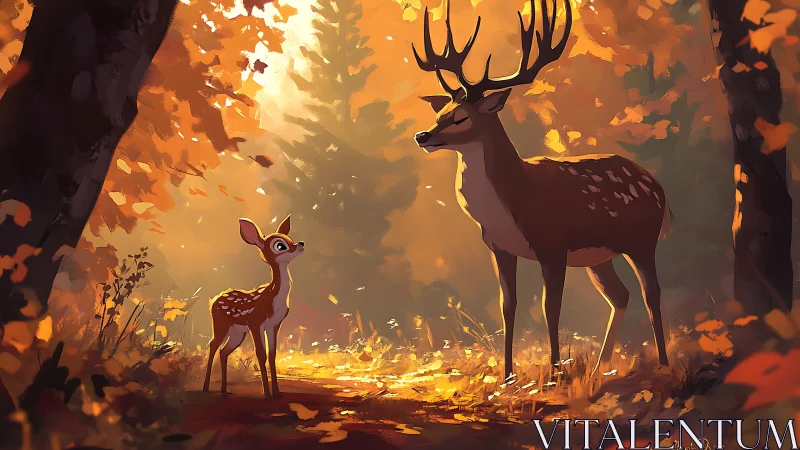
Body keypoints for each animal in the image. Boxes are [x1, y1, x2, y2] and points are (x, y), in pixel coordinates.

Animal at [202, 215, 304, 400]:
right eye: (280, 245)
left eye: (289, 238)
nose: (301, 244)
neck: (274, 298)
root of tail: (213, 300)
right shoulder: (256, 322)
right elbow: (261, 354)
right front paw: (267, 396)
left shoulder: (274, 324)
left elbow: (272, 355)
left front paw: (277, 393)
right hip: (221, 323)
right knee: (213, 345)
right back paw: (206, 388)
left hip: (237, 332)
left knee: (224, 351)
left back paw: (224, 391)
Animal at [411, 0, 672, 381]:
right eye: (441, 111)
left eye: (460, 117)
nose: (423, 136)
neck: (514, 200)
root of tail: (659, 188)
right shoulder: (499, 248)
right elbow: (508, 307)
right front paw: (507, 376)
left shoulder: (553, 244)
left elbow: (552, 308)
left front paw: (555, 374)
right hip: (600, 256)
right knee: (620, 295)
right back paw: (599, 369)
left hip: (642, 239)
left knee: (651, 293)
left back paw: (664, 365)